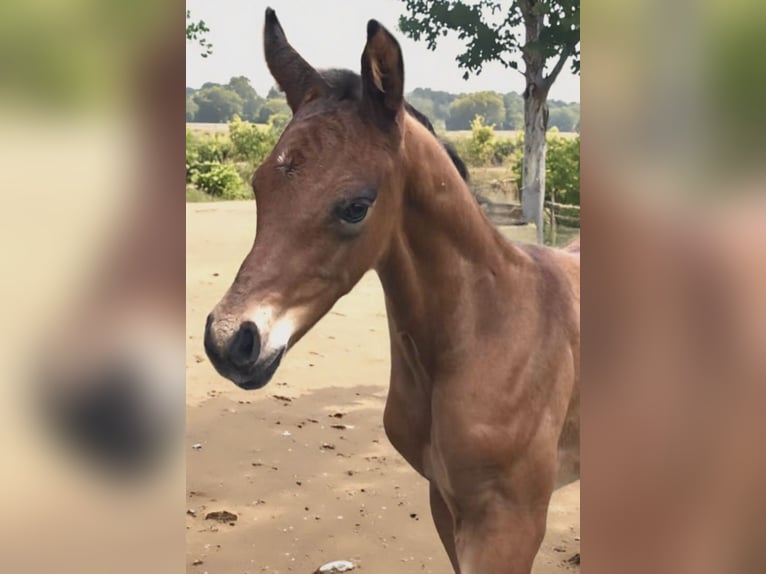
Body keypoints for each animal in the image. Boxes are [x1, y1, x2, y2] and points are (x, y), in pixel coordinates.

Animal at [204, 9, 580, 573]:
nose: (229, 341)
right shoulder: (444, 502)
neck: (487, 331)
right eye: (259, 185)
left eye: (357, 206)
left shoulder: (511, 521)